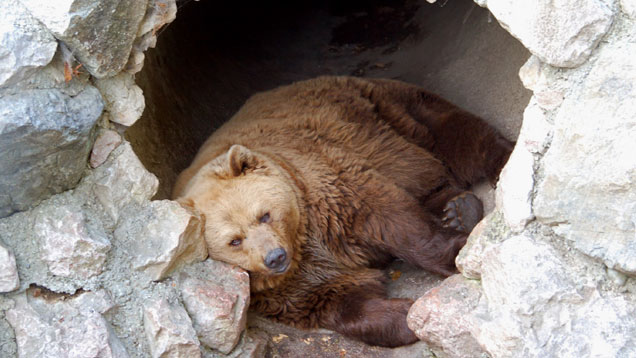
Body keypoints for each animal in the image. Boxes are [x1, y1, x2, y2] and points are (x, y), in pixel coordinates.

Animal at [173, 75, 512, 346]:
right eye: (235, 240)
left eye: (264, 215)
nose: (275, 257)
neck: (302, 240)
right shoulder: (286, 288)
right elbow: (338, 300)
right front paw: (403, 315)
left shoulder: (331, 191)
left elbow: (395, 221)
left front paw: (454, 254)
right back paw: (457, 209)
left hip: (383, 112)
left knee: (454, 134)